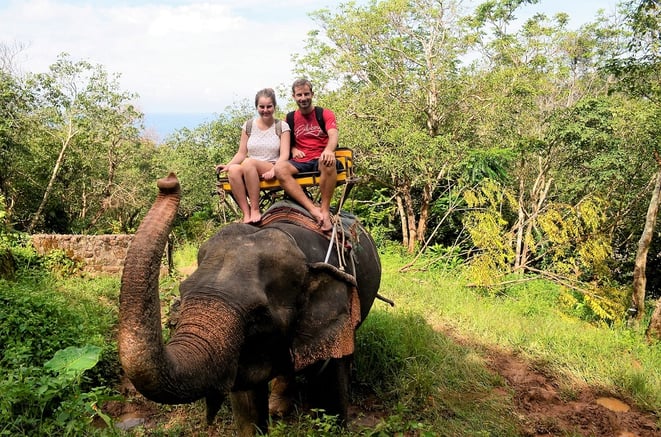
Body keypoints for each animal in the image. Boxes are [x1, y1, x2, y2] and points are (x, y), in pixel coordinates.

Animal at [118, 173, 382, 436]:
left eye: (258, 316)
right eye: (182, 292)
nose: (168, 181)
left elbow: (330, 391)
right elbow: (247, 402)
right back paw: (277, 408)